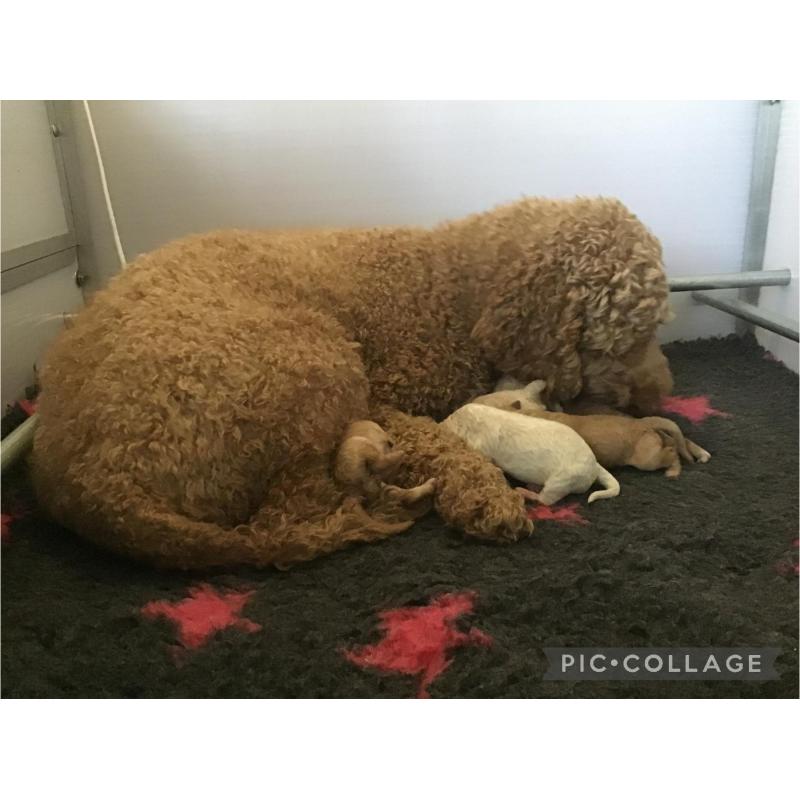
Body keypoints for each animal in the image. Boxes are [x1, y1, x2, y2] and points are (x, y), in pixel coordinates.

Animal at [444, 404, 620, 504]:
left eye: (452, 418)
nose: (440, 423)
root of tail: (595, 466)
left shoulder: (483, 445)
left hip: (563, 480)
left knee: (546, 500)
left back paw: (526, 492)